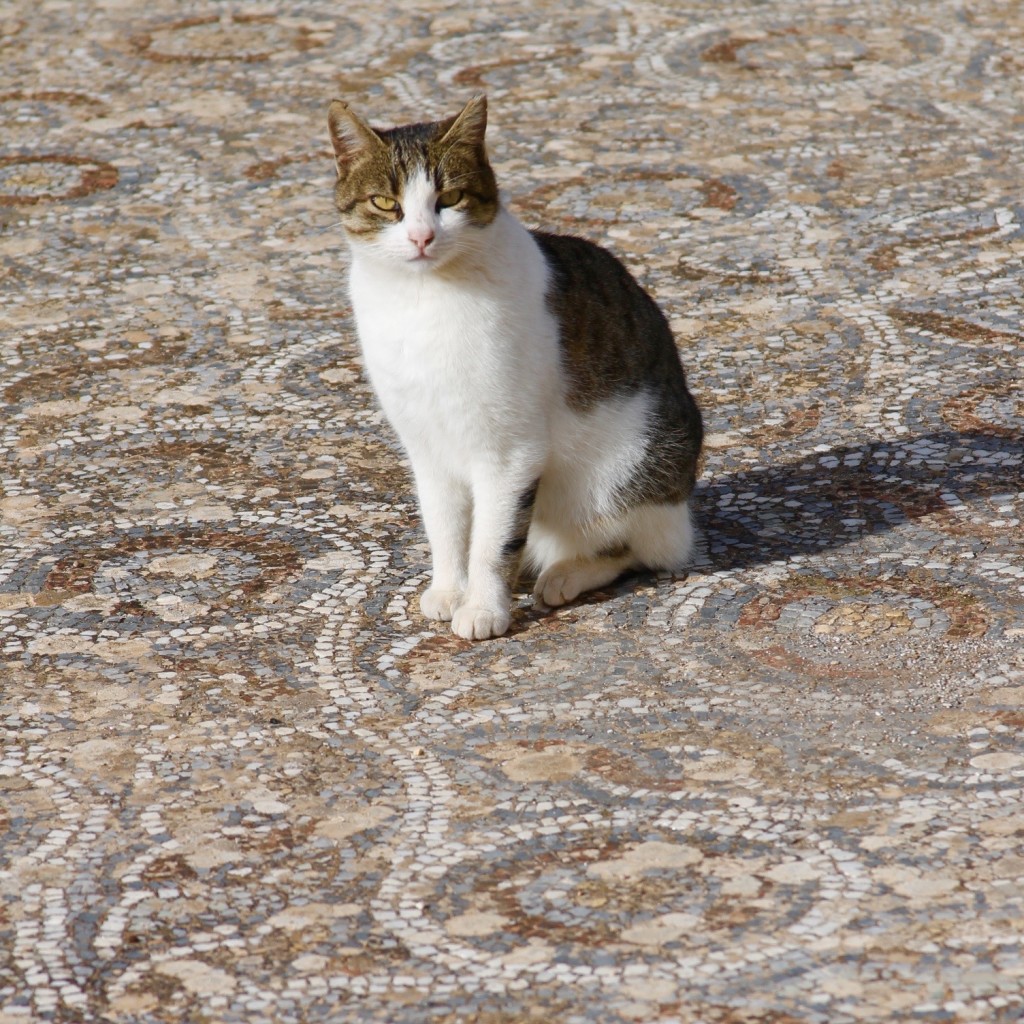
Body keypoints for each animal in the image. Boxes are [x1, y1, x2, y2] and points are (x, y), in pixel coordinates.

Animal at [327, 96, 704, 638]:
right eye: (384, 203)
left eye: (450, 198)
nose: (421, 237)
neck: (423, 298)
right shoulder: (426, 444)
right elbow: (444, 527)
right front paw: (450, 589)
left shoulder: (509, 452)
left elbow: (491, 542)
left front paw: (484, 608)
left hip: (629, 469)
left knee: (638, 548)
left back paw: (566, 574)